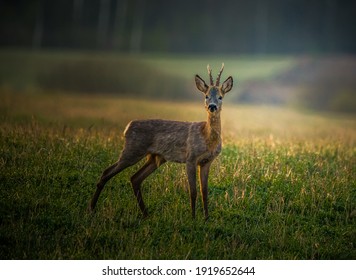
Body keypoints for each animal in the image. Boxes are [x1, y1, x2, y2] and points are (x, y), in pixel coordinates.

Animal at [89, 63, 234, 219]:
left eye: (220, 97)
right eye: (206, 96)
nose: (212, 106)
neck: (206, 136)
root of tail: (127, 127)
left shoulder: (206, 162)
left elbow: (204, 192)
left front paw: (206, 218)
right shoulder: (191, 158)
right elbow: (193, 191)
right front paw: (193, 218)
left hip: (155, 158)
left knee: (135, 178)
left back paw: (145, 213)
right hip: (132, 150)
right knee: (107, 172)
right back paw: (91, 208)